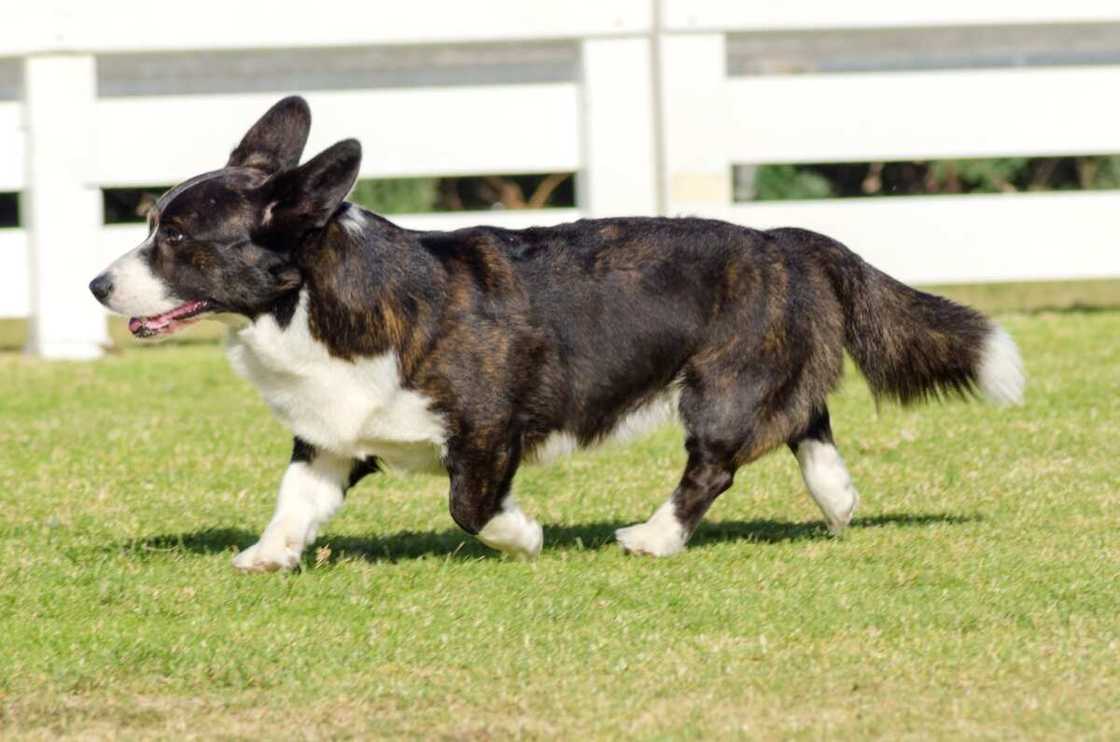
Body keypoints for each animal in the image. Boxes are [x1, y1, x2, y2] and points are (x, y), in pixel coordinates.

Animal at [89, 97, 1025, 573]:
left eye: (178, 239)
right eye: (151, 223)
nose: (97, 285)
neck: (319, 302)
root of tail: (786, 239)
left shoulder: (488, 428)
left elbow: (468, 506)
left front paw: (524, 537)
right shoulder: (329, 438)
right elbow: (295, 501)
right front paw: (267, 555)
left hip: (718, 388)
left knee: (714, 468)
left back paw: (653, 538)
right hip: (759, 376)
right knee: (809, 425)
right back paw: (838, 504)